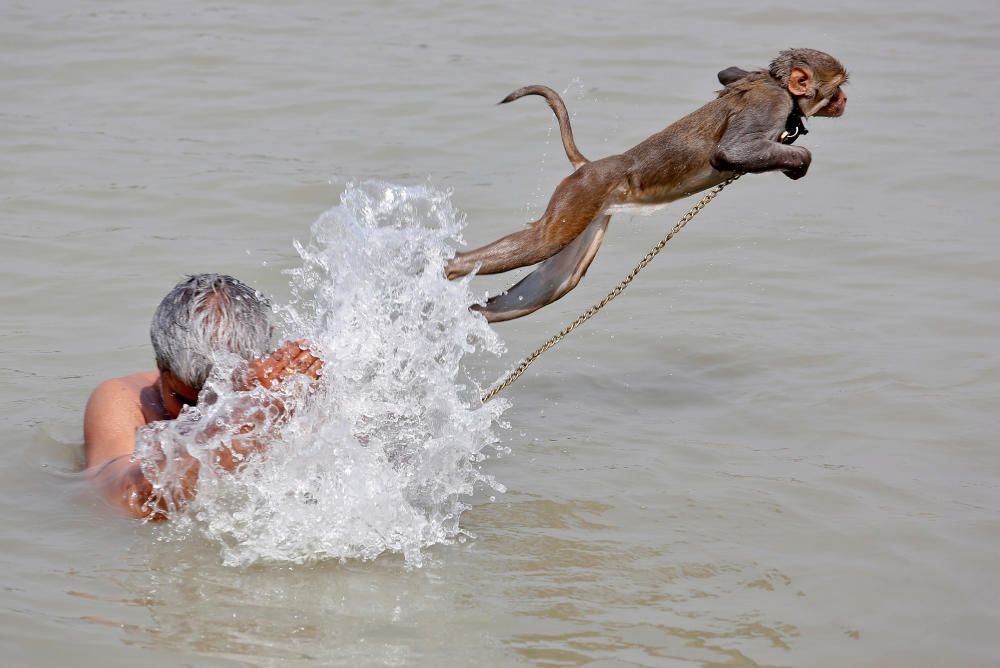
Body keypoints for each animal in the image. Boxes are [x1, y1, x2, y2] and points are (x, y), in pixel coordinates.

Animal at [450, 48, 848, 322]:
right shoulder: (773, 103)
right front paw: (798, 158)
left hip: (589, 209)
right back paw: (451, 267)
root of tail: (589, 165)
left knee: (555, 283)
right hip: (580, 193)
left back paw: (475, 312)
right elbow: (727, 153)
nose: (844, 100)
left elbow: (729, 74)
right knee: (543, 242)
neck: (778, 85)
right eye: (838, 88)